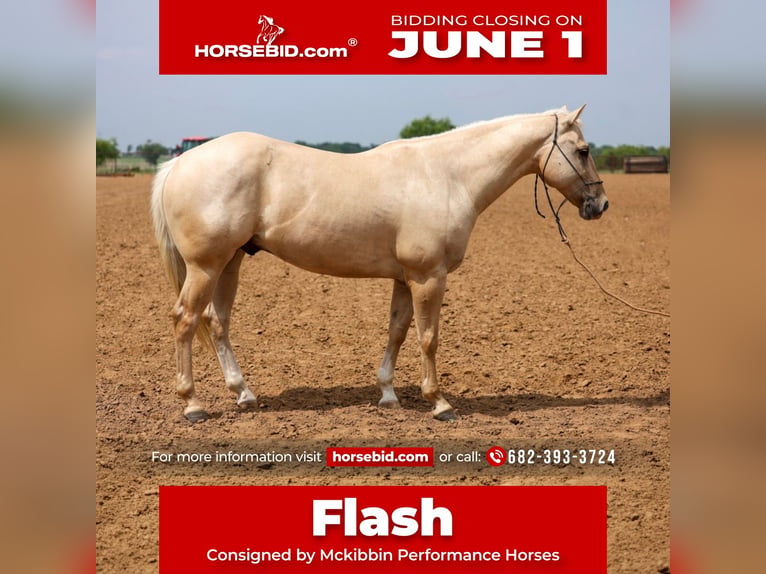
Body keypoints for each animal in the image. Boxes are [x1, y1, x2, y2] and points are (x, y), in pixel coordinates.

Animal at [151, 105, 608, 423]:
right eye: (583, 150)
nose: (600, 204)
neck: (448, 176)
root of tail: (180, 162)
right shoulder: (429, 277)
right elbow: (428, 338)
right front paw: (439, 403)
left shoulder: (406, 279)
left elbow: (398, 332)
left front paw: (388, 394)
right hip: (205, 266)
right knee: (185, 320)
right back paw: (192, 404)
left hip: (229, 263)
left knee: (217, 322)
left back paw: (243, 393)